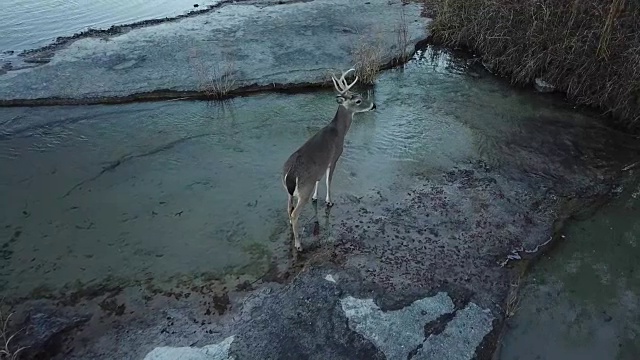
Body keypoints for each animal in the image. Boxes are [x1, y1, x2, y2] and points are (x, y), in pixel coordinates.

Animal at [282, 67, 378, 250]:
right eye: (358, 100)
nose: (374, 105)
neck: (338, 131)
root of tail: (290, 175)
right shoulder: (334, 158)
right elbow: (328, 180)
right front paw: (329, 201)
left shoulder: (320, 167)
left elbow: (319, 180)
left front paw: (316, 197)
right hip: (303, 190)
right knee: (295, 214)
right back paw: (299, 244)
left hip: (288, 191)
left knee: (288, 208)